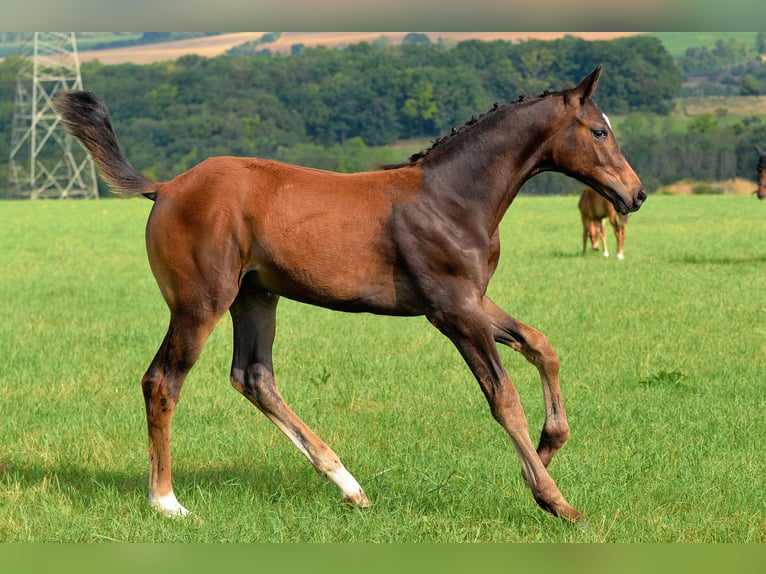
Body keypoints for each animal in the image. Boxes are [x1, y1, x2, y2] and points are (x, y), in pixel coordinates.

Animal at [52, 65, 645, 523]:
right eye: (599, 131)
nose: (635, 194)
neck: (452, 197)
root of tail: (167, 187)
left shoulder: (472, 302)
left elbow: (542, 345)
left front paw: (547, 448)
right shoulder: (453, 312)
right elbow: (503, 399)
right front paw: (554, 500)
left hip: (254, 297)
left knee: (253, 377)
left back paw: (349, 485)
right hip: (200, 304)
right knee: (163, 381)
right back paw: (167, 502)